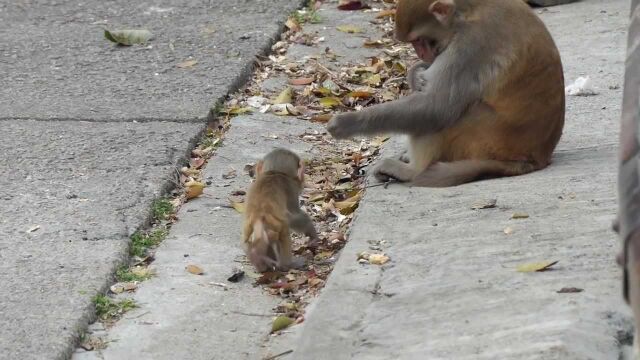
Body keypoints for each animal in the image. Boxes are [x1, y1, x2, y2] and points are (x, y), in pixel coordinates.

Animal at [328, 0, 564, 186]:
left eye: (419, 40)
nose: (421, 54)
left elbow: (435, 108)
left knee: (445, 115)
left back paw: (411, 171)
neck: (468, 12)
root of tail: (537, 158)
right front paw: (416, 74)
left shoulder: (473, 42)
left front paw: (346, 123)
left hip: (485, 139)